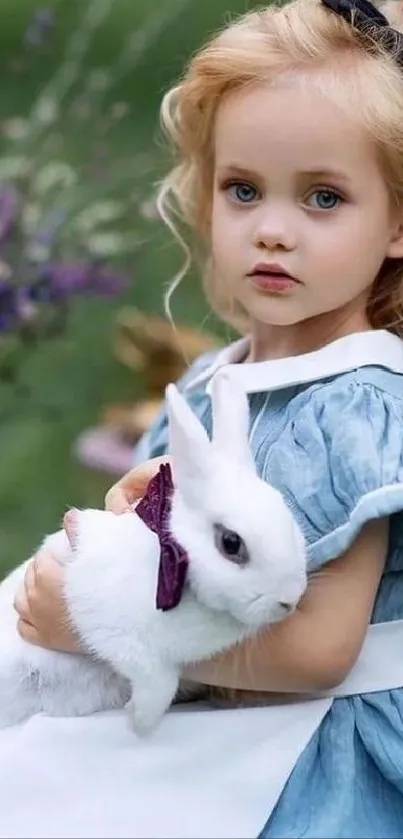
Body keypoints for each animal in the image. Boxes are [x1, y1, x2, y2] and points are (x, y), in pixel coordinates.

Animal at [0, 374, 308, 736]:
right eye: (231, 543)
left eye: (290, 521)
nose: (289, 601)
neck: (174, 564)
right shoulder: (122, 637)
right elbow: (157, 680)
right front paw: (140, 721)